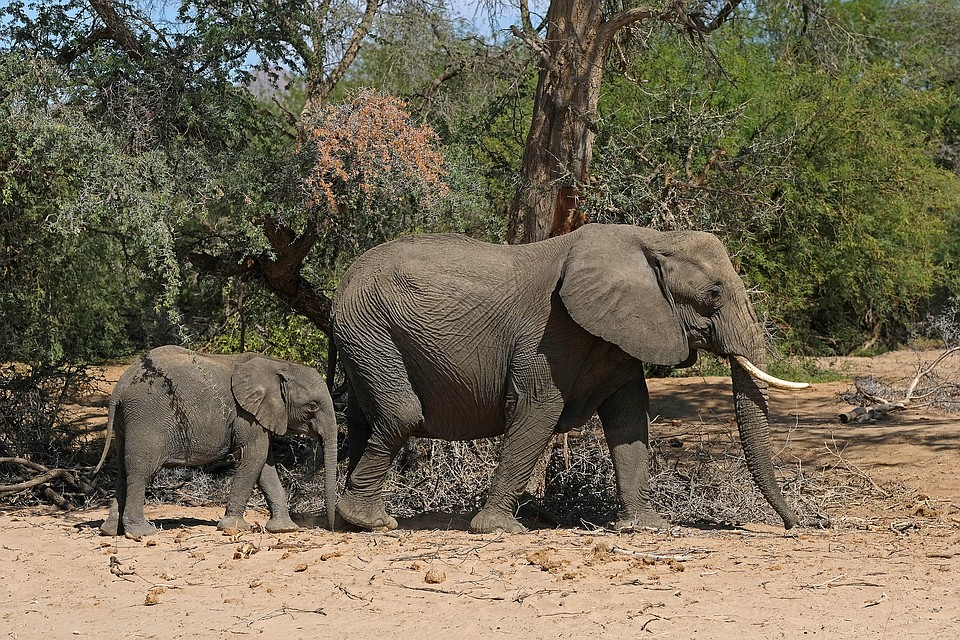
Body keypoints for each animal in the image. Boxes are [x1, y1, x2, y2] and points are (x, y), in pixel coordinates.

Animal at [96, 348, 338, 536]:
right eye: (313, 406)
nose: (330, 527)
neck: (277, 364)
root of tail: (120, 385)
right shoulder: (246, 415)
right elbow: (254, 456)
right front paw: (234, 528)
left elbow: (265, 464)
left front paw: (285, 529)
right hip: (146, 417)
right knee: (140, 471)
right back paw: (141, 533)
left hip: (126, 421)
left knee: (123, 470)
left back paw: (111, 531)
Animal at [334, 225, 808, 536]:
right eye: (713, 294)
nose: (791, 527)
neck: (653, 238)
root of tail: (345, 276)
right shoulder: (549, 333)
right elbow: (537, 410)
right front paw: (500, 530)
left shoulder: (621, 332)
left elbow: (629, 417)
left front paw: (646, 527)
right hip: (370, 327)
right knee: (402, 413)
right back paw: (374, 522)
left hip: (366, 336)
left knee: (363, 417)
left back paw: (350, 521)